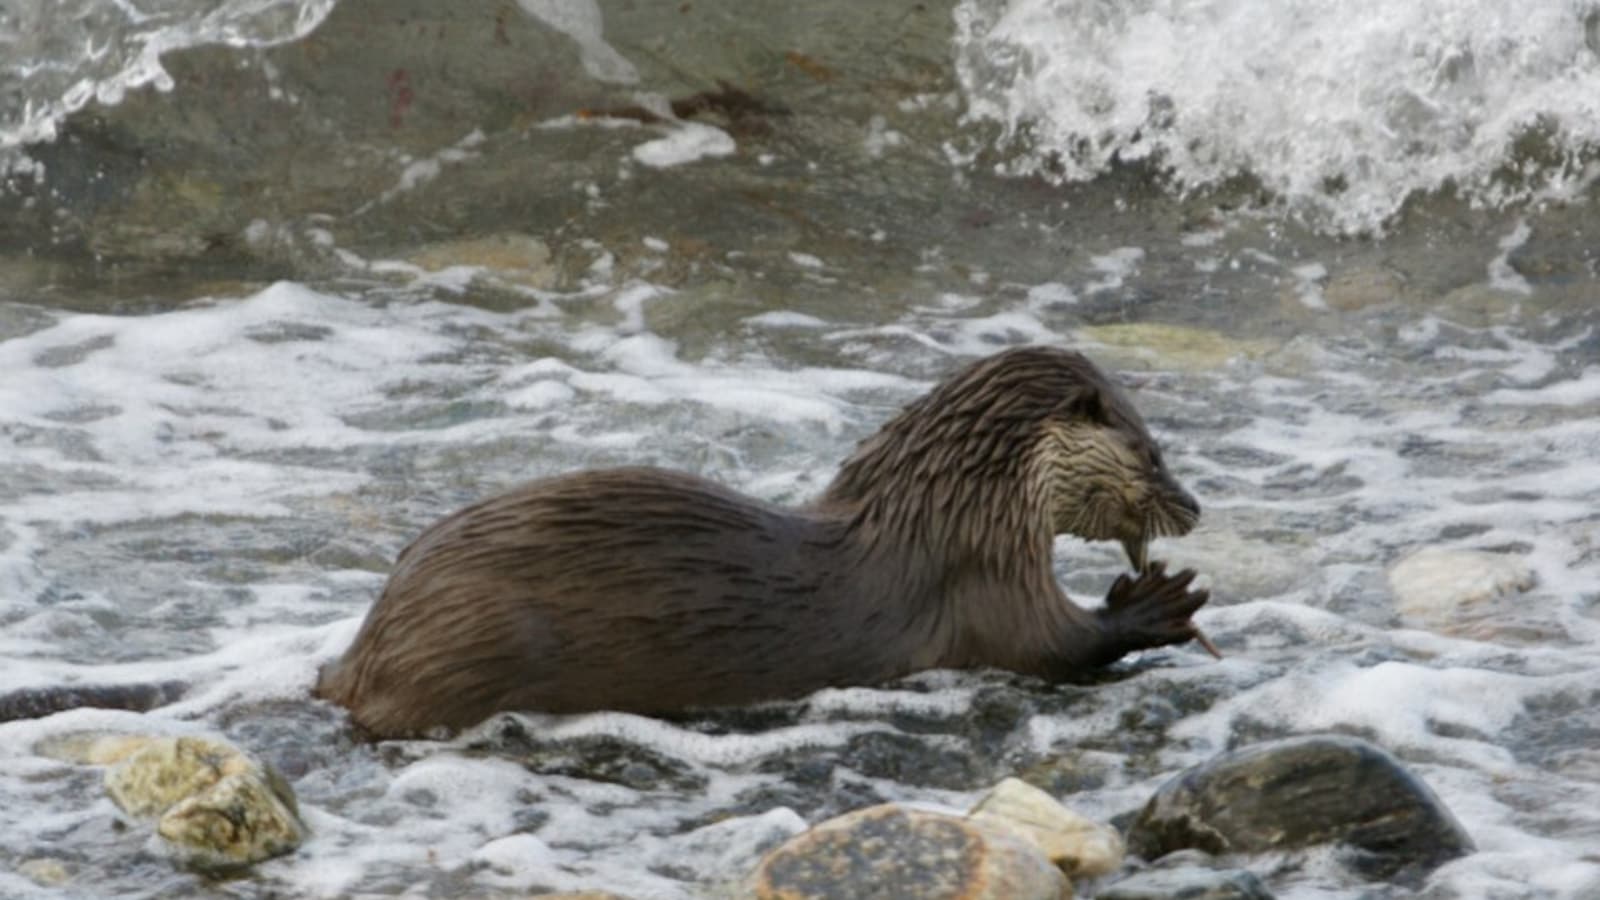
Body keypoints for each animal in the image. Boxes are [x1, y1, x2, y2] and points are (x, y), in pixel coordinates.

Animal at [0, 346, 1212, 738]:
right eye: (1153, 452)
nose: (1195, 506)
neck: (952, 505)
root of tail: (359, 649)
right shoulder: (984, 587)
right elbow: (1051, 648)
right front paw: (1160, 603)